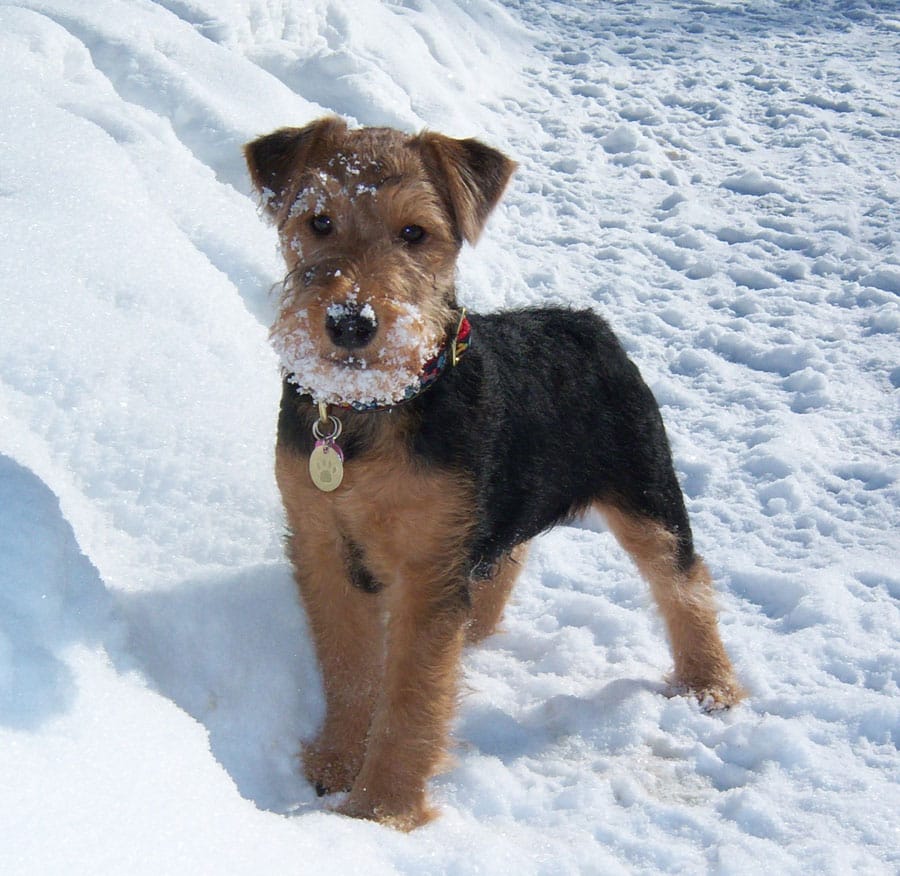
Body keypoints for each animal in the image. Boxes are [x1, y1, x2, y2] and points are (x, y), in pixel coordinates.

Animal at [243, 116, 740, 828]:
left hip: (647, 490)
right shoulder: (323, 546)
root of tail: (587, 320)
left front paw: (381, 809)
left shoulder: (427, 569)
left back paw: (711, 684)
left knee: (685, 583)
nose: (350, 323)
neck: (370, 413)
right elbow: (349, 666)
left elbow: (412, 696)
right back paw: (476, 636)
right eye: (319, 221)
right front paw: (335, 763)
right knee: (508, 558)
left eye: (414, 233)